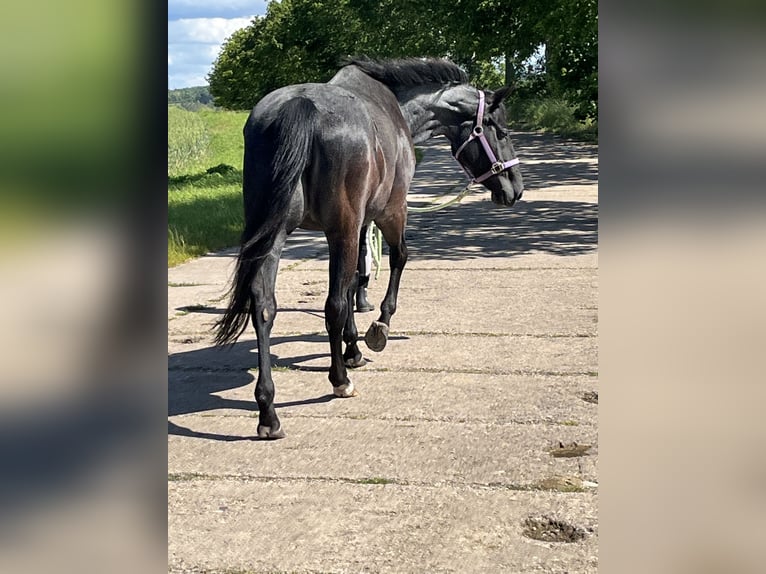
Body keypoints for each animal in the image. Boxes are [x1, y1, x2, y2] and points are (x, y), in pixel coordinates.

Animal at [213, 57, 524, 440]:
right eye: (501, 131)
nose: (515, 189)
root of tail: (298, 106)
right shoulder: (391, 211)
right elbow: (396, 260)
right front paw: (379, 328)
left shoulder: (360, 223)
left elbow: (354, 281)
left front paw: (353, 347)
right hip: (339, 229)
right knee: (331, 304)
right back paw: (339, 381)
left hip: (273, 236)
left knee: (264, 308)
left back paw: (268, 411)